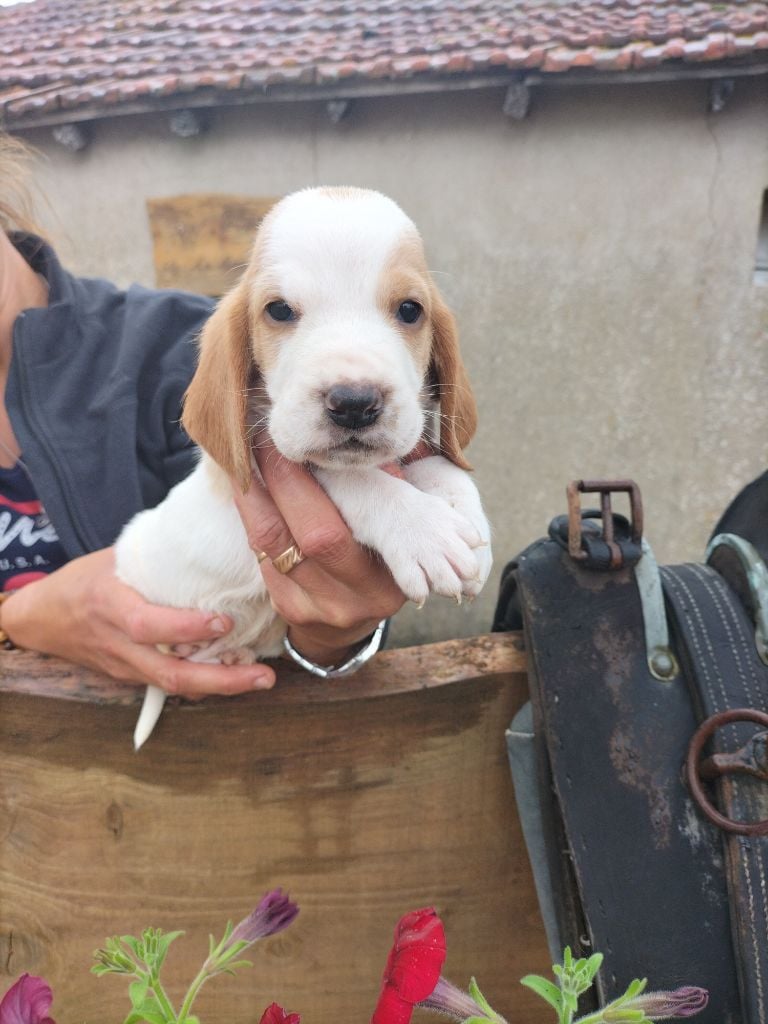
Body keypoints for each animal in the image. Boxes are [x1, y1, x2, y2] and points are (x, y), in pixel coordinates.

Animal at [115, 188, 493, 749]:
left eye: (410, 310)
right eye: (278, 310)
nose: (354, 403)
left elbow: (437, 467)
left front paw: (461, 513)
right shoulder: (266, 458)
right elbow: (349, 476)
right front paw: (423, 531)